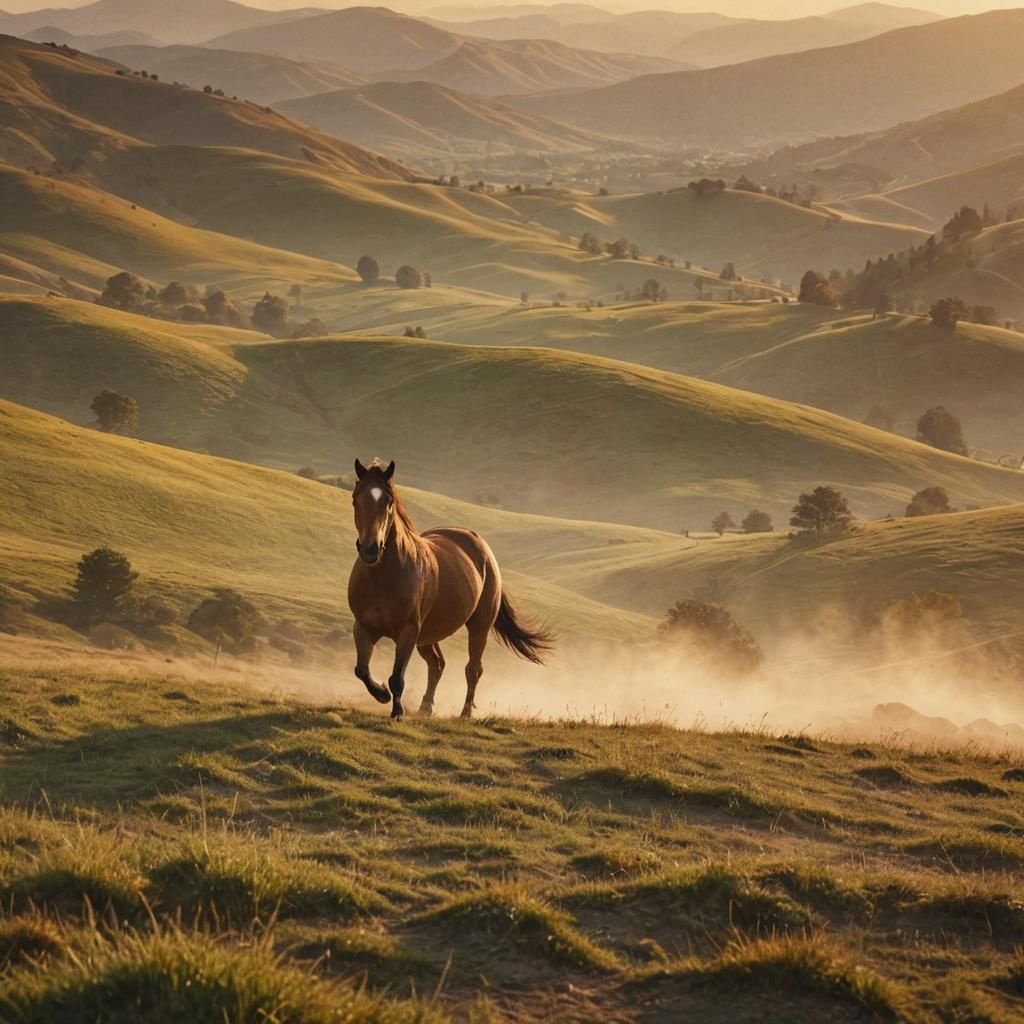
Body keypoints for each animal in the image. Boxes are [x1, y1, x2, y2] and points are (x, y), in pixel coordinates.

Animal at [347, 459, 553, 719]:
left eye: (389, 503)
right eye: (356, 499)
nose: (370, 549)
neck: (383, 578)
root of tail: (479, 544)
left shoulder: (407, 632)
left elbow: (396, 678)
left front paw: (396, 711)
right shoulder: (363, 627)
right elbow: (361, 670)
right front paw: (382, 694)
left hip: (478, 627)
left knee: (473, 669)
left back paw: (465, 712)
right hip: (427, 635)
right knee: (437, 664)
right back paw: (426, 707)